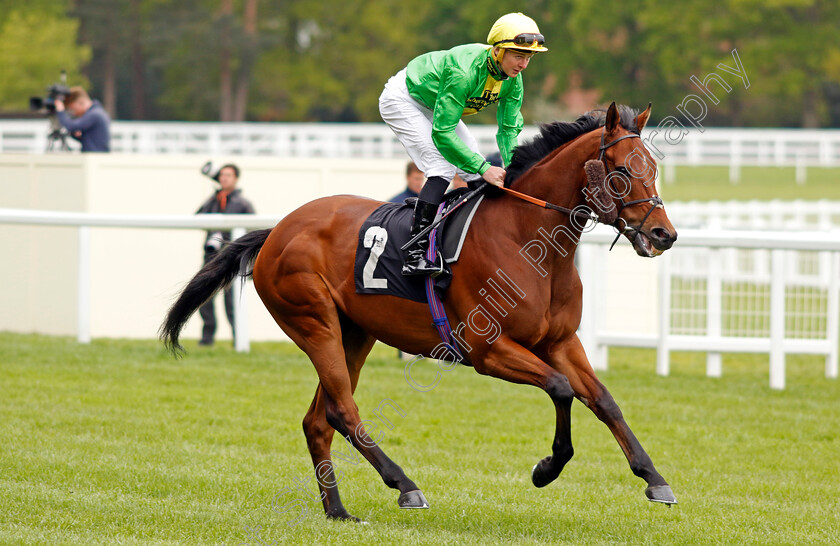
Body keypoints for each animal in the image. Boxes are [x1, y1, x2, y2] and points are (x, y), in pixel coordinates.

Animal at [161, 101, 680, 520]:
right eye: (621, 170)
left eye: (654, 167)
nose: (664, 234)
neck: (530, 243)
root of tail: (277, 230)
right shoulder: (488, 351)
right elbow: (561, 388)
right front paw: (546, 468)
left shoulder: (561, 341)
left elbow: (604, 399)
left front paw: (655, 479)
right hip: (314, 322)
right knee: (343, 411)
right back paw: (405, 486)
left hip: (355, 332)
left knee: (318, 420)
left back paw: (338, 511)